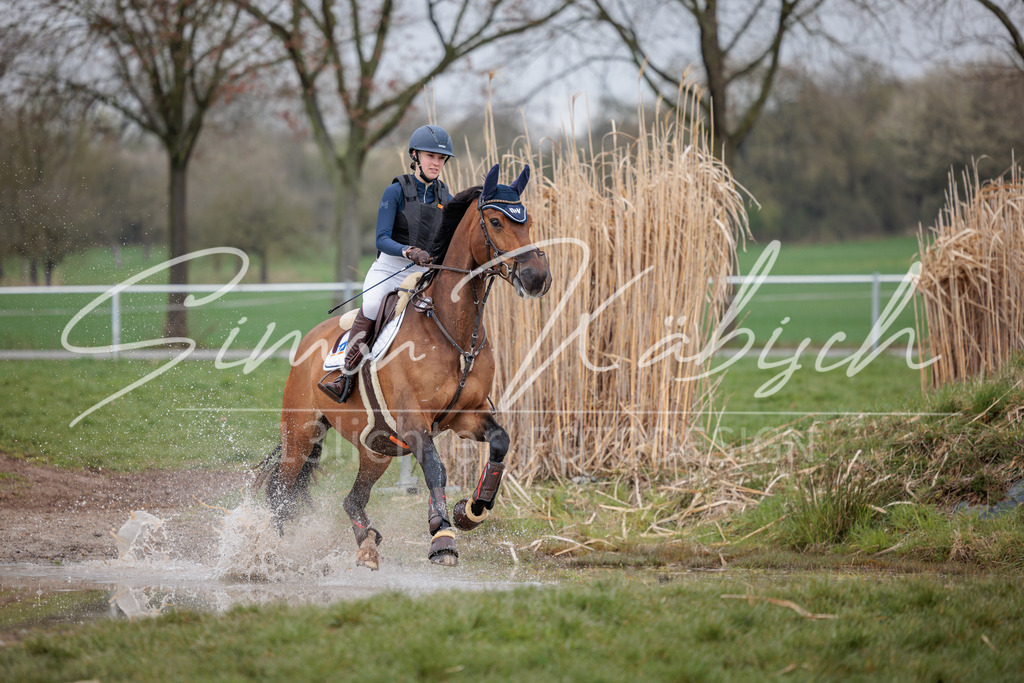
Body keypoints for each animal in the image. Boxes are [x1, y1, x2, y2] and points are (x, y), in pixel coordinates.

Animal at [256, 164, 552, 568]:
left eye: (529, 221)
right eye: (495, 221)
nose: (537, 277)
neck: (452, 329)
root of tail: (305, 344)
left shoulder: (466, 415)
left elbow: (500, 442)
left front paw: (470, 511)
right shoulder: (414, 422)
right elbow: (435, 469)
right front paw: (442, 536)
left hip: (376, 447)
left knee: (353, 499)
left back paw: (366, 543)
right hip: (300, 435)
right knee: (281, 493)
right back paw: (271, 552)